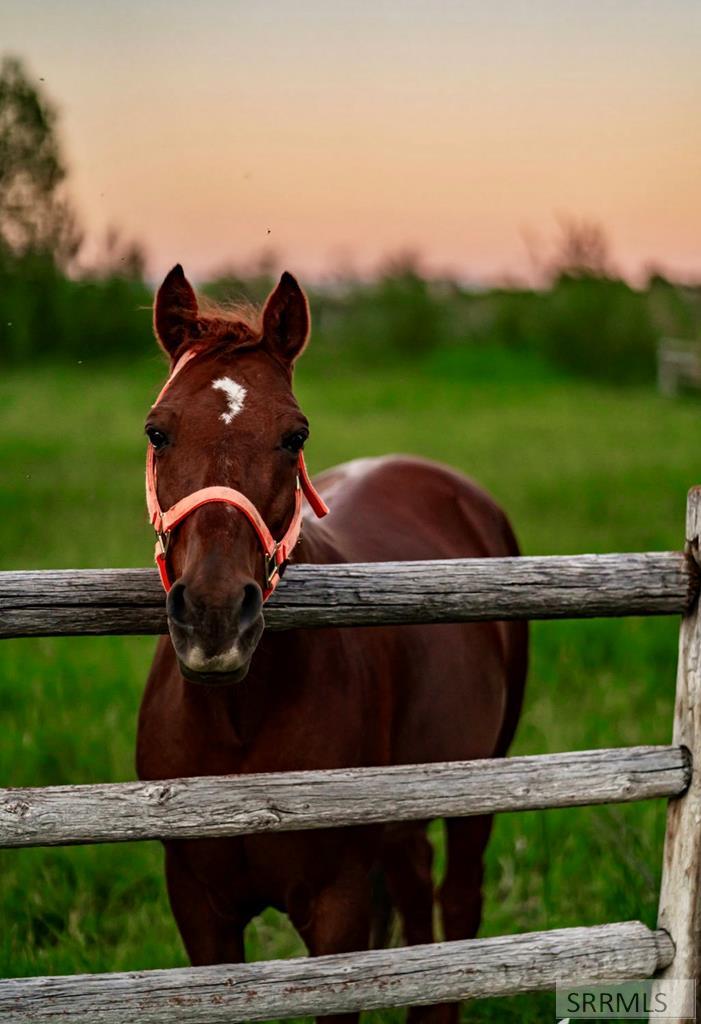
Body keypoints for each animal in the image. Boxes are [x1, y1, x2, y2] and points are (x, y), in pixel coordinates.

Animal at [135, 266, 523, 1024]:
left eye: (295, 435)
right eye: (157, 430)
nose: (214, 615)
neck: (238, 725)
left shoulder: (337, 910)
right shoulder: (199, 909)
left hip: (481, 782)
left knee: (457, 908)